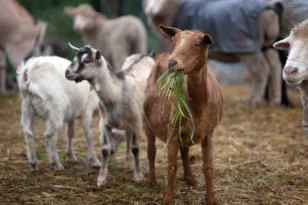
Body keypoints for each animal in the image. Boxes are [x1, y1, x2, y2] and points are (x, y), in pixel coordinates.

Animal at [65, 44, 156, 186]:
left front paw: (139, 176)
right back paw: (127, 162)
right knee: (128, 136)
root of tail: (146, 55)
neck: (116, 94)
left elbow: (136, 148)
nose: (67, 72)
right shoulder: (104, 123)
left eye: (87, 61)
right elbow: (105, 150)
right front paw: (101, 179)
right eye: (75, 58)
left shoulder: (136, 121)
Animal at [143, 25, 223, 205]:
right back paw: (151, 181)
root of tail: (162, 55)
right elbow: (172, 166)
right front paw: (168, 198)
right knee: (151, 151)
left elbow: (208, 168)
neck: (199, 106)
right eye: (173, 40)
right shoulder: (172, 129)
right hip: (147, 124)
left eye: (198, 43)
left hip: (185, 132)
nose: (172, 63)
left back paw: (190, 178)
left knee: (185, 152)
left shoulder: (210, 132)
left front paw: (211, 198)